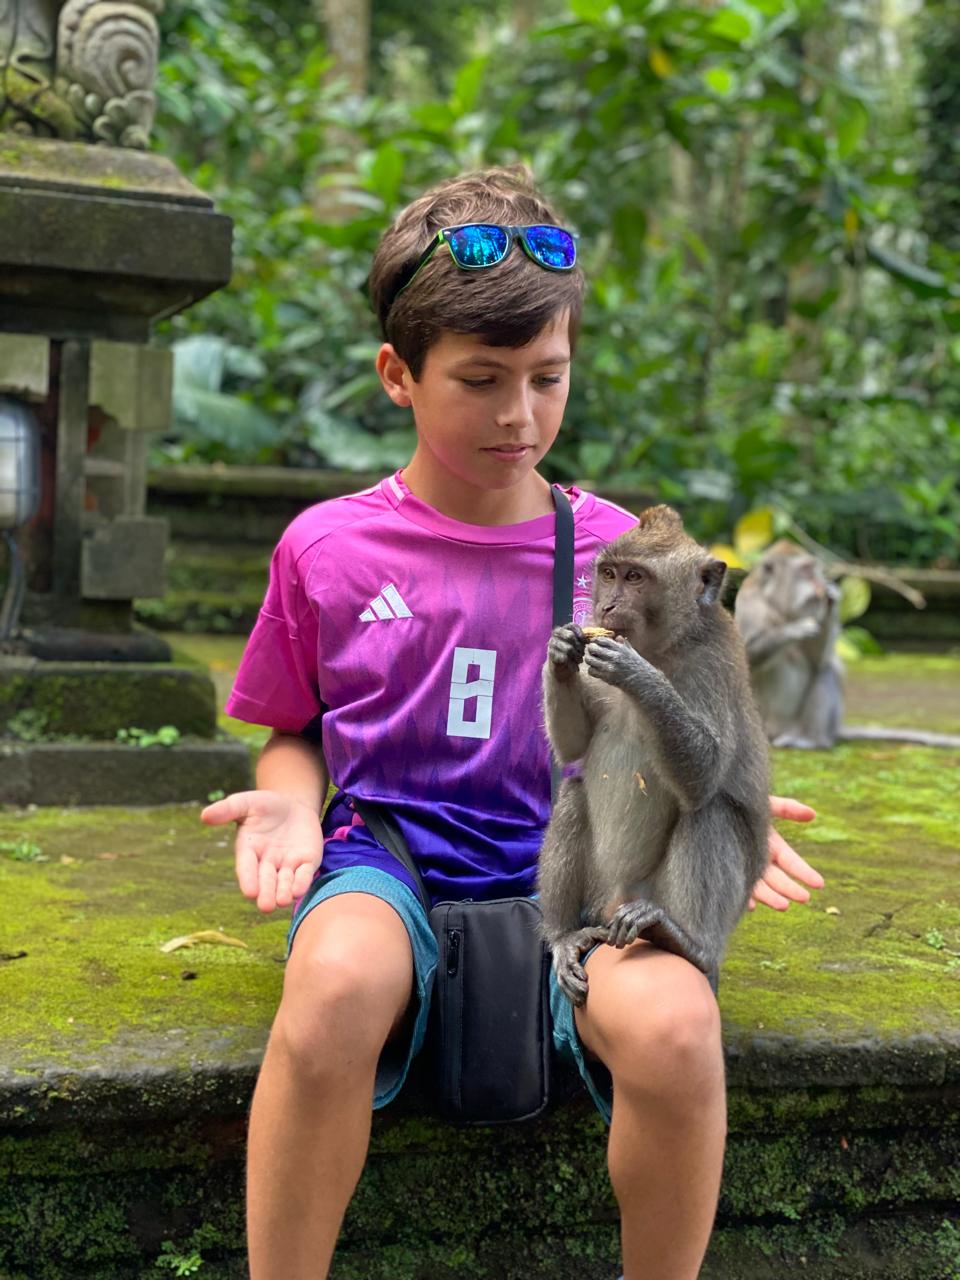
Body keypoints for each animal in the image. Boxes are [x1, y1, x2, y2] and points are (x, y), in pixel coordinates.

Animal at [537, 505, 770, 1007]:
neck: (664, 646)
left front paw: (635, 673)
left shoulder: (713, 665)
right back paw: (564, 935)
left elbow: (704, 773)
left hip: (668, 900)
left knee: (711, 812)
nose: (606, 606)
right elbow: (574, 745)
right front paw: (561, 652)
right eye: (608, 574)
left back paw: (684, 940)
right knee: (574, 793)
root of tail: (618, 899)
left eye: (635, 577)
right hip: (600, 892)